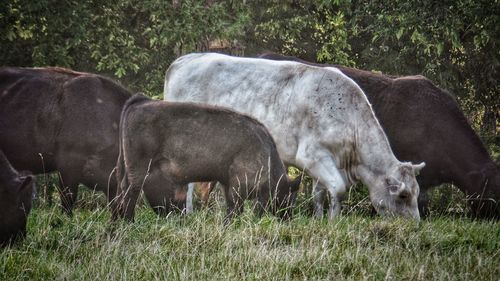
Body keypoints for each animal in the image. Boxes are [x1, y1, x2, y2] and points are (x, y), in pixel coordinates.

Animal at [113, 95, 300, 222]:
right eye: (289, 197)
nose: (288, 217)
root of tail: (141, 100)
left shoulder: (227, 184)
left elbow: (232, 209)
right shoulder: (240, 186)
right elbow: (241, 209)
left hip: (126, 168)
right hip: (138, 169)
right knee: (130, 194)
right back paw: (129, 222)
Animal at [165, 53, 426, 219]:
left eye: (416, 193)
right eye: (403, 195)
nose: (415, 226)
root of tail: (184, 60)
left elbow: (319, 194)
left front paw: (320, 219)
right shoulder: (311, 156)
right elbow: (338, 189)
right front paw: (334, 222)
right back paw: (188, 213)